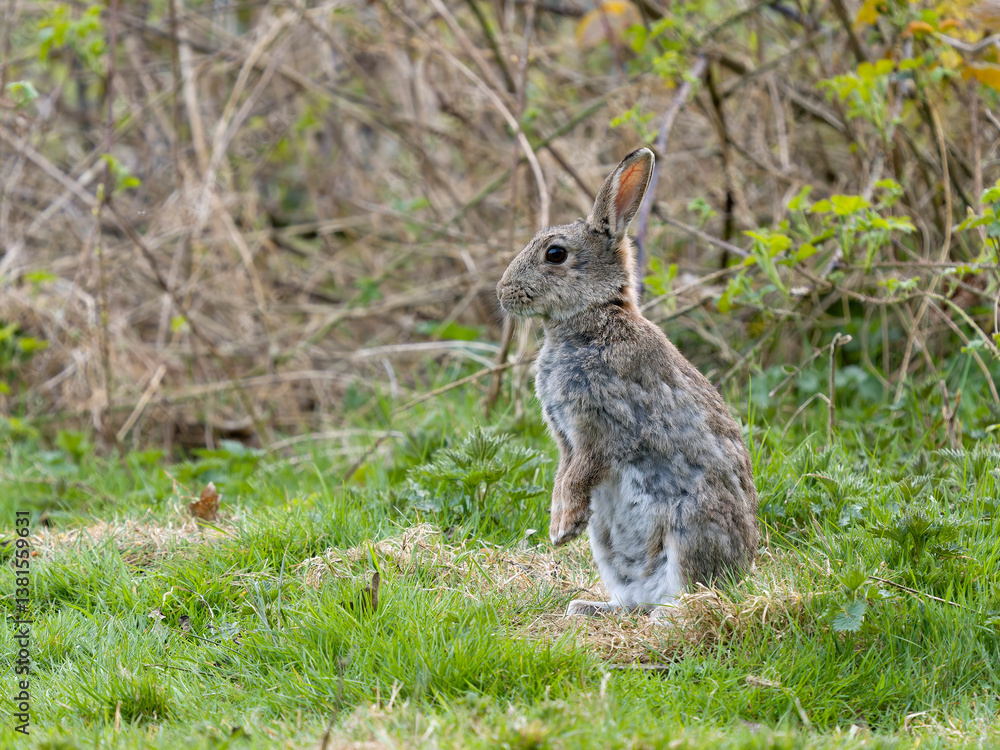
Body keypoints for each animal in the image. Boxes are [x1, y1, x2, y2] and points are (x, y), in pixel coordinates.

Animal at [496, 148, 759, 619]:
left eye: (555, 254)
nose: (502, 292)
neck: (593, 318)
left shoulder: (601, 428)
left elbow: (579, 473)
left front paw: (563, 529)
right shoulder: (566, 438)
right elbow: (563, 474)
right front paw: (559, 525)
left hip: (689, 529)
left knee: (690, 594)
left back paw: (665, 619)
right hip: (607, 545)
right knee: (632, 599)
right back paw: (588, 608)